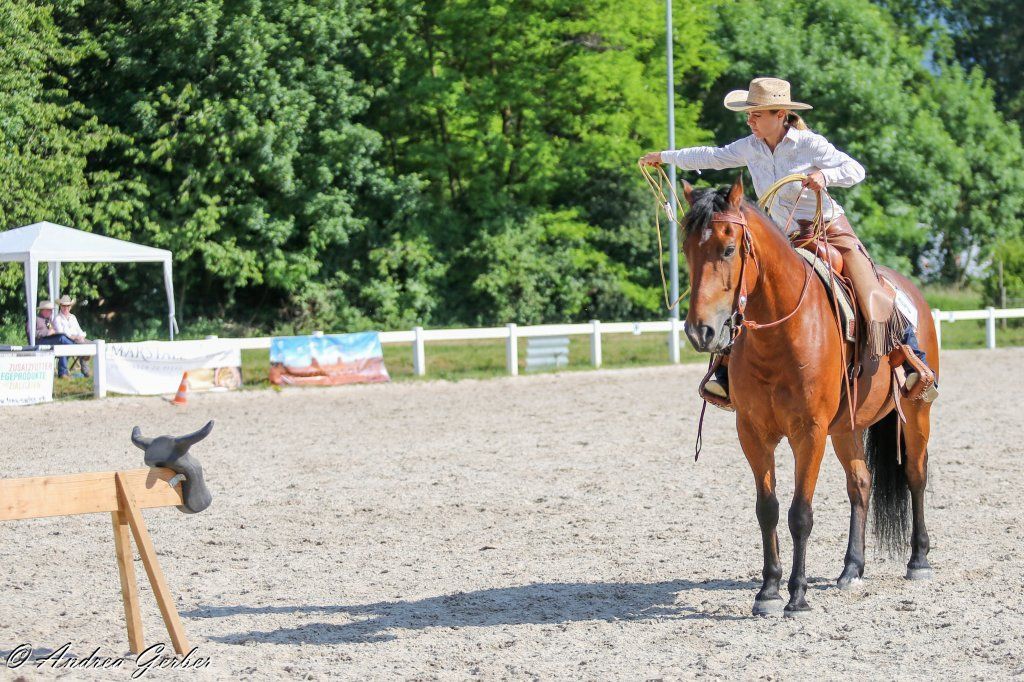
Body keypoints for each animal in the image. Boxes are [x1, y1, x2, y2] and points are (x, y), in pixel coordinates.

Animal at [679, 174, 937, 617]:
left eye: (728, 249)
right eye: (685, 250)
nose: (701, 331)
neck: (782, 332)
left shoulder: (809, 432)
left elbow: (800, 512)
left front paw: (797, 595)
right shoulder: (753, 433)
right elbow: (767, 509)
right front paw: (768, 591)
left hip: (916, 411)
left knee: (915, 477)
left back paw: (918, 560)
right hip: (846, 428)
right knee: (861, 484)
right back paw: (852, 569)